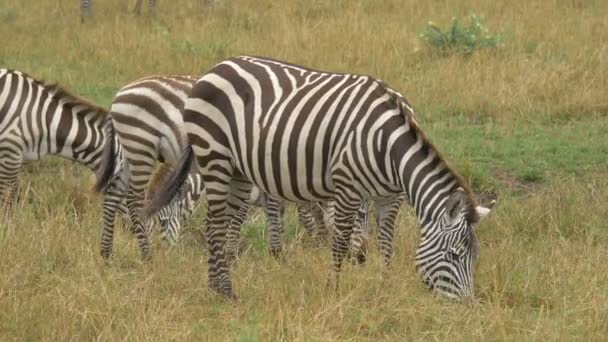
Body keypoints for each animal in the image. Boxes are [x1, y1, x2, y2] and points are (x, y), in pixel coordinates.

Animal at [145, 55, 496, 300]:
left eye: (476, 257)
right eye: (454, 255)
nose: (466, 306)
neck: (391, 148)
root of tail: (216, 67)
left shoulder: (389, 196)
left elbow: (387, 242)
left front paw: (383, 286)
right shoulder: (347, 188)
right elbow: (339, 243)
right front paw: (334, 289)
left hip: (238, 170)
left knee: (224, 224)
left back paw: (220, 287)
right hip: (214, 156)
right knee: (214, 225)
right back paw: (224, 292)